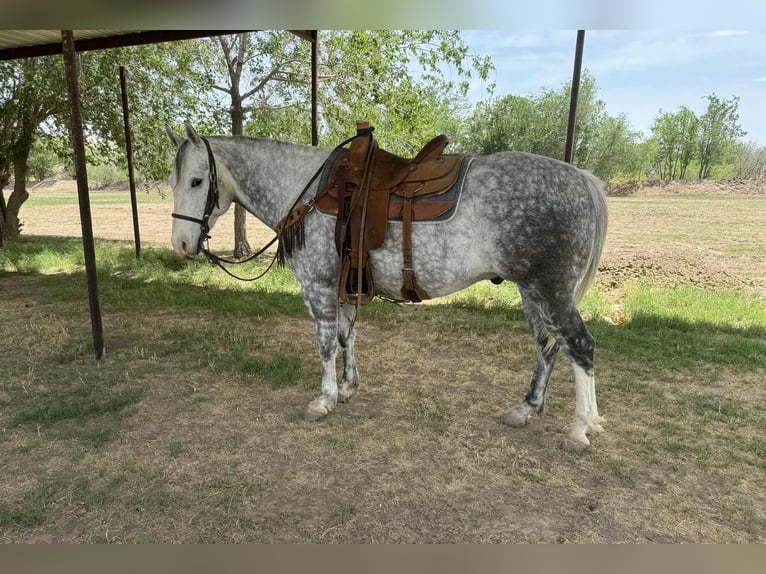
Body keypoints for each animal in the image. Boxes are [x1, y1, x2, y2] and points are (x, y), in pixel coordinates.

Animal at [166, 123, 608, 450]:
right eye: (173, 181)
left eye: (196, 181)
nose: (181, 245)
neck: (310, 192)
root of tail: (581, 178)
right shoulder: (344, 285)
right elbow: (346, 337)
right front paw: (348, 388)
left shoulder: (318, 287)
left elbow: (326, 344)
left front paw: (324, 399)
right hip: (532, 293)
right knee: (548, 349)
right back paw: (527, 408)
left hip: (549, 291)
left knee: (579, 346)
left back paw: (580, 427)